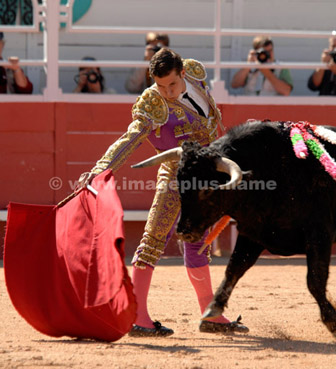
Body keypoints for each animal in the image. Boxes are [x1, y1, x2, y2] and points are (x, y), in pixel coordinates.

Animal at [133, 121, 336, 336]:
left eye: (207, 190)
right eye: (180, 186)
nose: (183, 232)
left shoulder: (319, 233)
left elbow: (315, 280)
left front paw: (331, 321)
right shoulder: (253, 233)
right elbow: (234, 268)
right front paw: (213, 308)